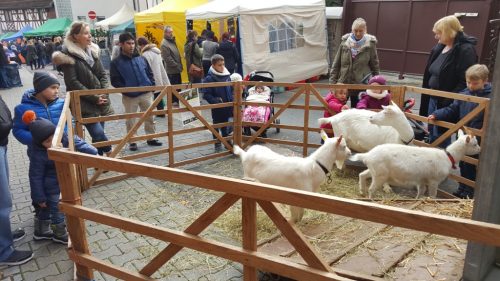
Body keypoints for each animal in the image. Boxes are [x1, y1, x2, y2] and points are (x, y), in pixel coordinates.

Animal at [352, 128, 480, 198]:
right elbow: (433, 195)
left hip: (375, 170)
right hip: (380, 174)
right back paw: (371, 198)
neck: (448, 156)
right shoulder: (434, 180)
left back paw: (362, 192)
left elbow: (421, 192)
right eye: (474, 144)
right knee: (372, 189)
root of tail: (367, 156)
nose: (479, 149)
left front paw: (417, 199)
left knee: (362, 175)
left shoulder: (421, 180)